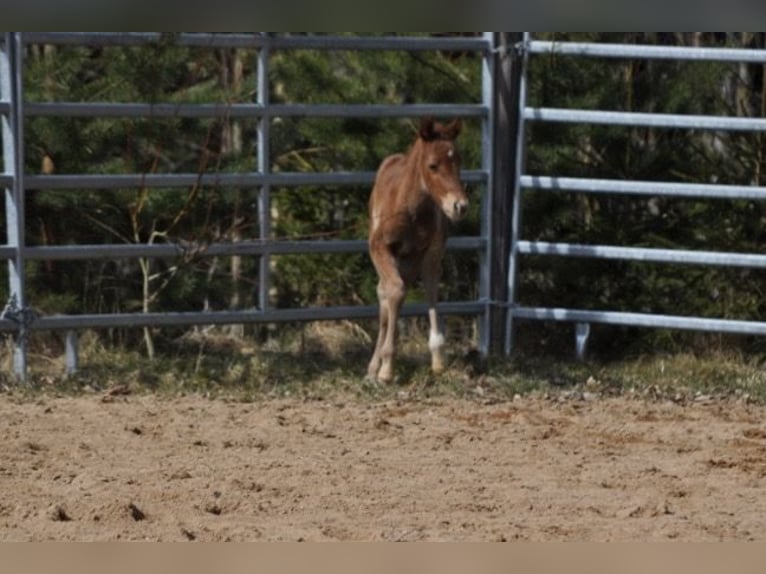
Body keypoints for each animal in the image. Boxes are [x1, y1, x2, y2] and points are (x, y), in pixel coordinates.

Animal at [367, 117, 469, 383]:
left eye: (458, 161)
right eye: (433, 165)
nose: (460, 206)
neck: (410, 209)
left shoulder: (432, 252)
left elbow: (430, 291)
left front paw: (438, 360)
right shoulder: (378, 247)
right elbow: (393, 291)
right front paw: (386, 368)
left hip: (409, 261)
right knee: (385, 292)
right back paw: (373, 367)